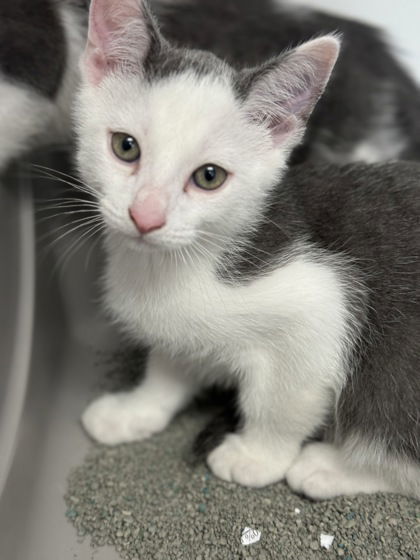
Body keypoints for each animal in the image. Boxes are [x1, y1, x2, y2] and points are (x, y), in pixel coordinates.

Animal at [77, 0, 418, 498]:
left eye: (209, 177)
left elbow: (281, 401)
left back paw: (328, 467)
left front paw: (257, 456)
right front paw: (135, 410)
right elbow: (167, 366)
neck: (176, 266)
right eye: (125, 147)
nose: (146, 216)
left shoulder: (321, 304)